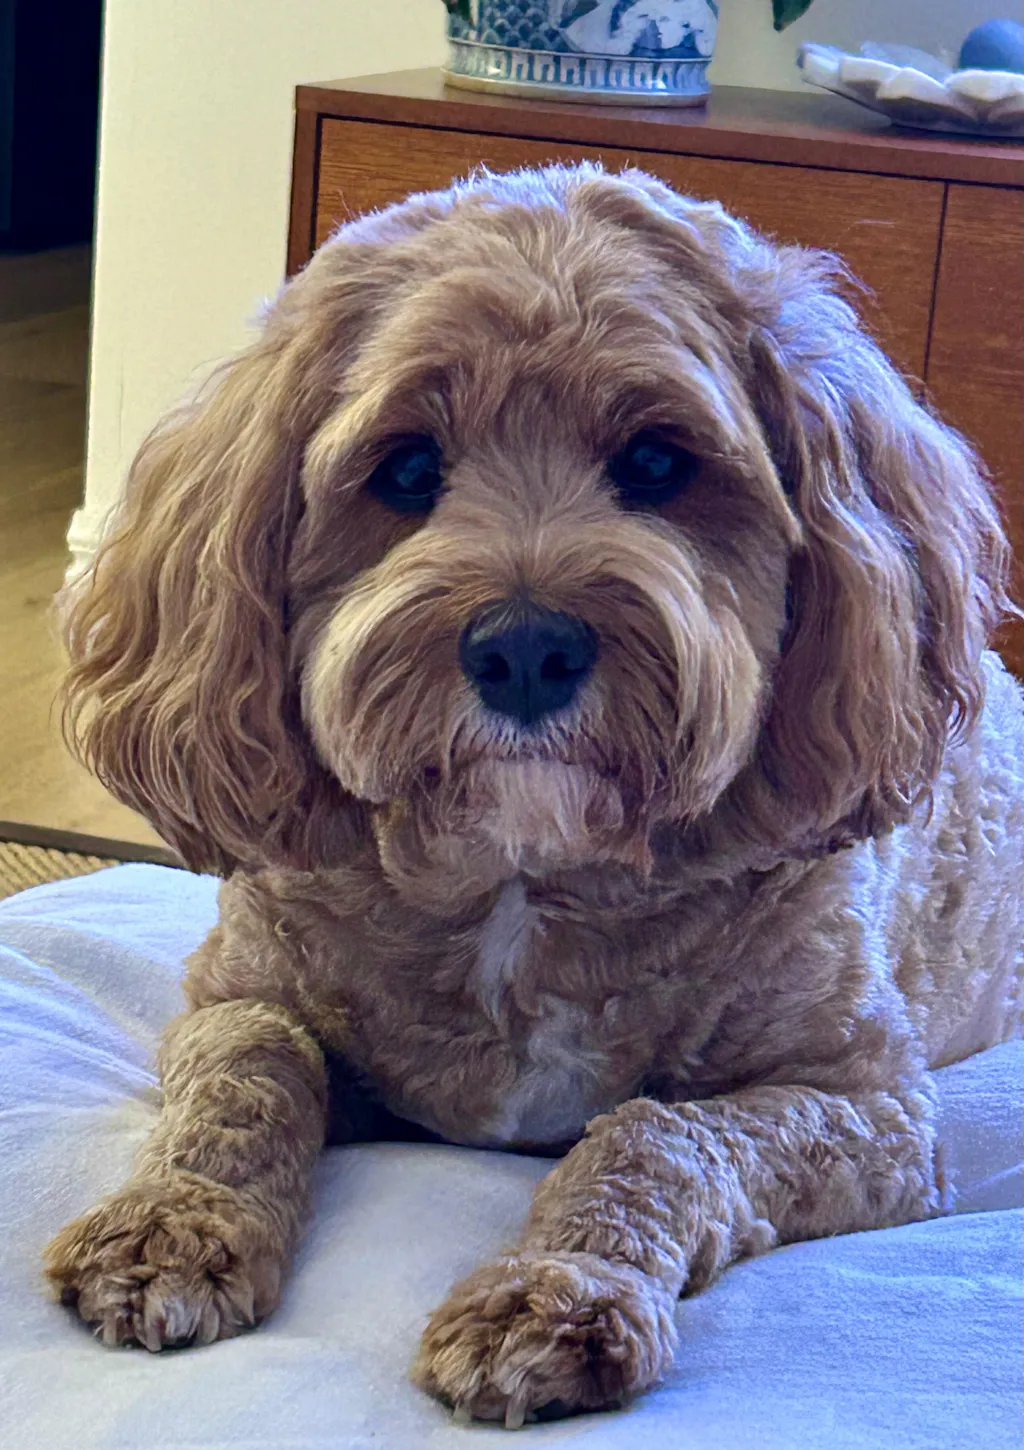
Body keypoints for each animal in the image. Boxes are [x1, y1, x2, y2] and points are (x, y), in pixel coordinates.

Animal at [44, 164, 1023, 1427]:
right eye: (405, 469)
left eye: (656, 463)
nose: (522, 648)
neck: (520, 875)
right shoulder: (236, 992)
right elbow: (250, 1071)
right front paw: (172, 1223)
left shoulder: (869, 1107)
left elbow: (655, 1133)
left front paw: (555, 1289)